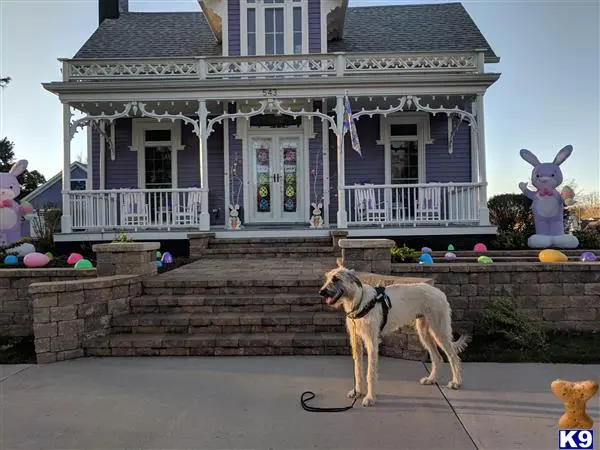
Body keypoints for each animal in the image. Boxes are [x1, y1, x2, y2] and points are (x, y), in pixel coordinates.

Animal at [318, 262, 468, 406]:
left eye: (336, 279)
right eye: (327, 279)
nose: (321, 292)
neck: (358, 302)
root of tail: (439, 292)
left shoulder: (372, 342)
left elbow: (370, 372)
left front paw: (370, 398)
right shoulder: (356, 340)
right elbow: (357, 369)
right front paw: (357, 392)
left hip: (439, 330)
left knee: (453, 356)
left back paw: (456, 382)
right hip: (423, 331)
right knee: (437, 357)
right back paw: (431, 379)